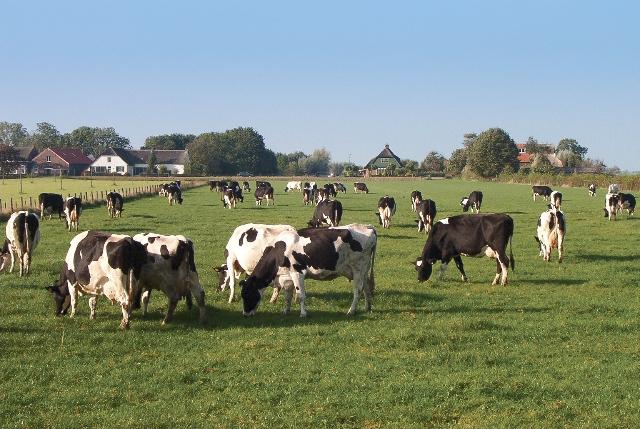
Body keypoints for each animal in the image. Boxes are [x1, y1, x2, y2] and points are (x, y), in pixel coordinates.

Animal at [242, 224, 378, 318]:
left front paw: (303, 314)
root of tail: (368, 227)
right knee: (366, 287)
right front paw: (286, 310)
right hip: (364, 269)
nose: (245, 314)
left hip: (358, 268)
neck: (279, 251)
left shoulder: (297, 272)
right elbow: (288, 295)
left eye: (247, 294)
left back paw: (351, 311)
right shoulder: (287, 277)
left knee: (358, 290)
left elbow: (300, 295)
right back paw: (367, 307)